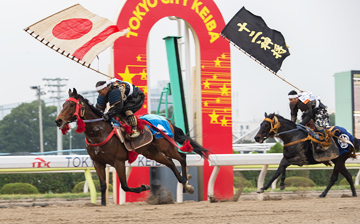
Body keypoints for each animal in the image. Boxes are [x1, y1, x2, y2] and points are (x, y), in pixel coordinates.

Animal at [54, 88, 210, 206]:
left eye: (71, 105)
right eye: (63, 105)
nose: (58, 121)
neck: (99, 132)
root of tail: (165, 119)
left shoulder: (118, 161)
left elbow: (124, 185)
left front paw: (144, 186)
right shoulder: (98, 162)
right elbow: (103, 186)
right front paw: (102, 205)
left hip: (166, 146)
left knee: (181, 157)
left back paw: (186, 182)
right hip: (152, 152)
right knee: (170, 163)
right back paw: (186, 184)